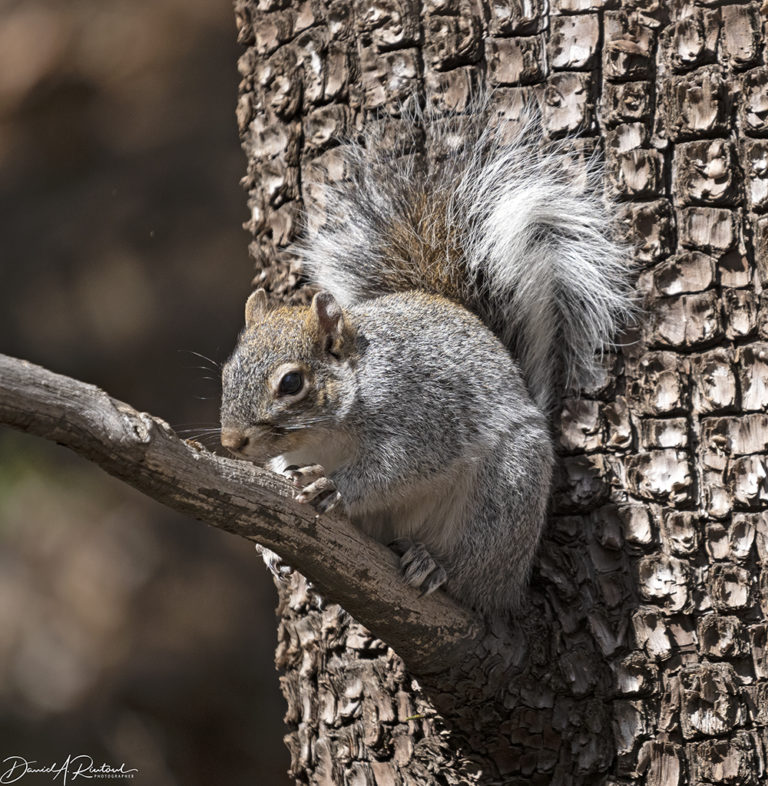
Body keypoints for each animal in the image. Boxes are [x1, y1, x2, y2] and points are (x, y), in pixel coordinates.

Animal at [219, 98, 632, 612]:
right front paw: (274, 550)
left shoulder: (421, 413)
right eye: (226, 371)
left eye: (291, 383)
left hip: (504, 497)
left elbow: (401, 464)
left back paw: (435, 565)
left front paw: (335, 486)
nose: (231, 442)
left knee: (476, 574)